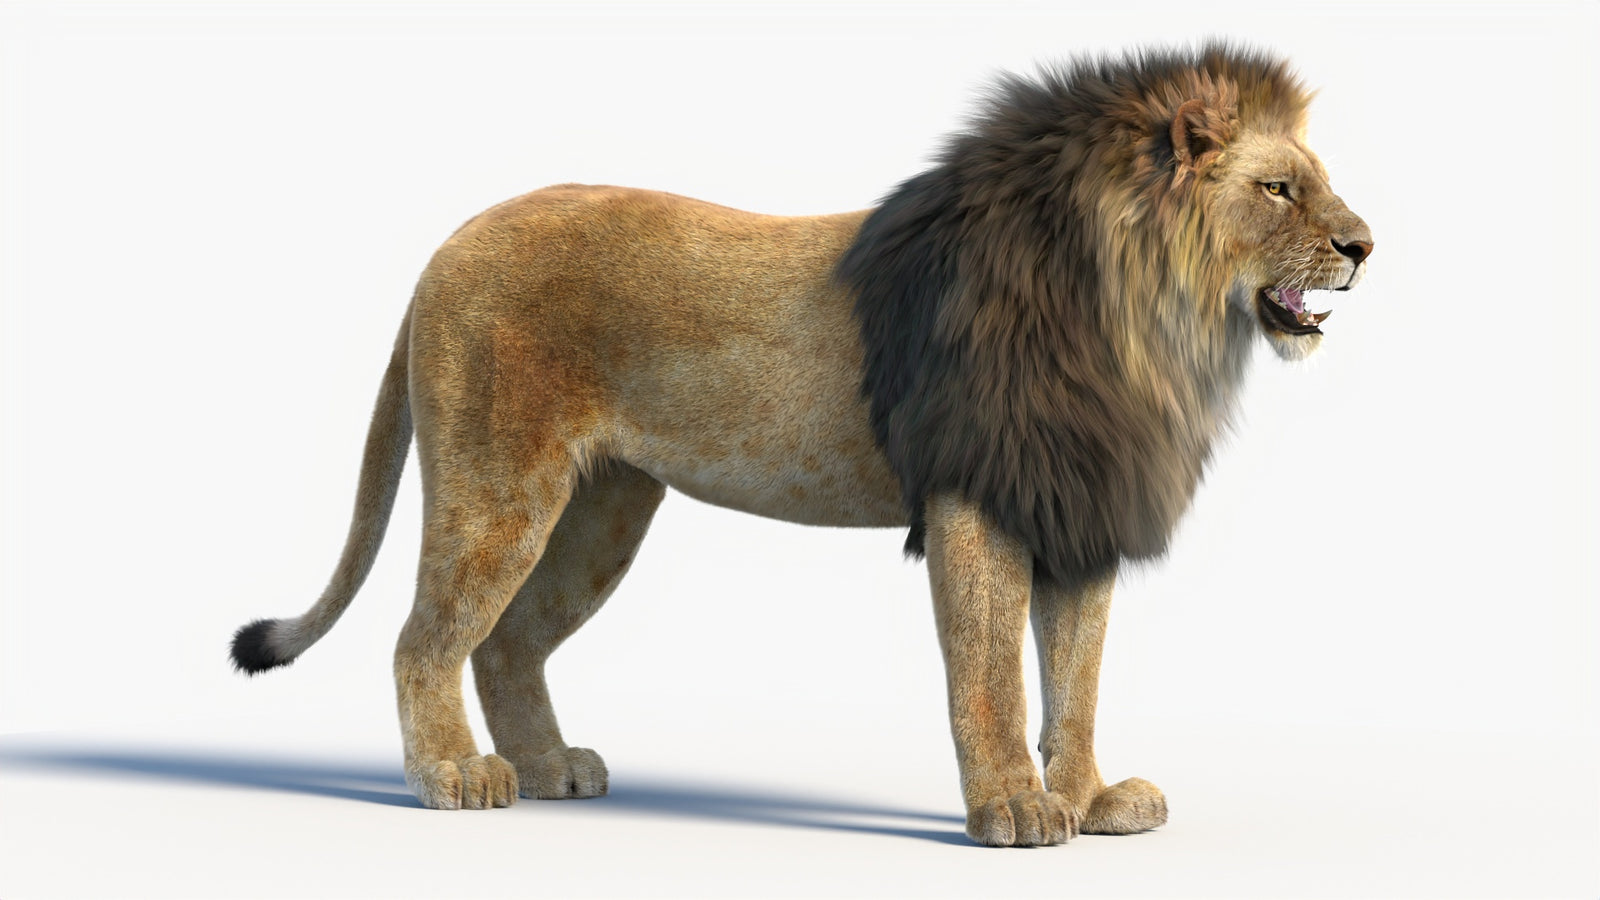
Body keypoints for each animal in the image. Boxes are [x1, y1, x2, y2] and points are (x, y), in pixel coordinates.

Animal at [231, 43, 1371, 847]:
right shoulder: (976, 502)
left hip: (602, 513)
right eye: (1279, 189)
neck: (1151, 323)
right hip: (500, 491)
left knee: (506, 642)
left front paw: (1089, 799)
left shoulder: (1076, 507)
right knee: (423, 639)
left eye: (1313, 181)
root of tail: (445, 247)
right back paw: (452, 778)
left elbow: (1075, 680)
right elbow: (991, 677)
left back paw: (551, 768)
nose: (1365, 244)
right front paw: (1012, 810)